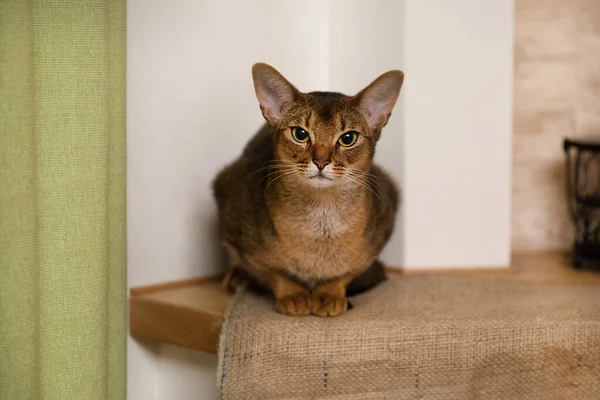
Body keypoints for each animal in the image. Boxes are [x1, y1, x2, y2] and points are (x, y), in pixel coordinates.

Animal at [211, 62, 404, 318]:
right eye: (300, 134)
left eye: (348, 138)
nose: (321, 161)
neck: (320, 225)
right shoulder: (232, 203)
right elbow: (272, 271)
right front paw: (293, 294)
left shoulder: (380, 228)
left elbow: (347, 272)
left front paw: (329, 293)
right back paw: (237, 276)